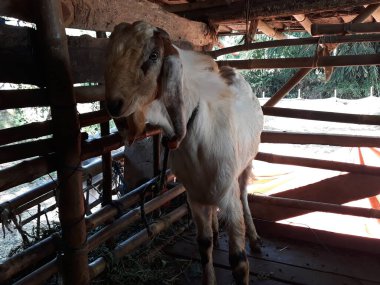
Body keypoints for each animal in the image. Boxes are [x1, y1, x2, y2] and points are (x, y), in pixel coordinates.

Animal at [104, 21, 264, 282]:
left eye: (154, 55)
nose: (114, 105)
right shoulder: (194, 196)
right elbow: (204, 243)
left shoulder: (228, 196)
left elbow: (238, 261)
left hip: (247, 162)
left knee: (244, 195)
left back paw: (255, 238)